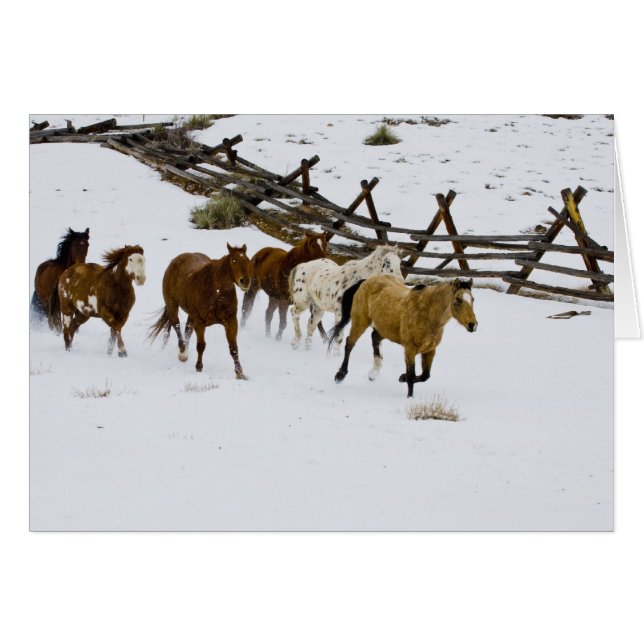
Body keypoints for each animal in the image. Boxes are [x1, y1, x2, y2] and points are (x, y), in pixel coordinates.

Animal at [147, 244, 251, 377]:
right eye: (234, 260)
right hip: (172, 305)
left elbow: (233, 348)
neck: (217, 293)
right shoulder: (200, 322)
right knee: (177, 326)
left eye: (247, 260)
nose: (245, 281)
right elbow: (201, 346)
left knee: (188, 329)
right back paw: (183, 353)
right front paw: (199, 368)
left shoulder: (231, 321)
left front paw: (240, 373)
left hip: (191, 315)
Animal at [328, 276, 478, 397]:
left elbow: (424, 376)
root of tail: (366, 281)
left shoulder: (430, 350)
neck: (427, 314)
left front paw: (401, 377)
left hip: (385, 328)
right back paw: (340, 375)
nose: (473, 325)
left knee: (374, 338)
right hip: (360, 322)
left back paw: (373, 372)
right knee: (349, 343)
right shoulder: (410, 350)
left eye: (473, 299)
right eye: (458, 299)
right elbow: (412, 376)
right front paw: (409, 396)